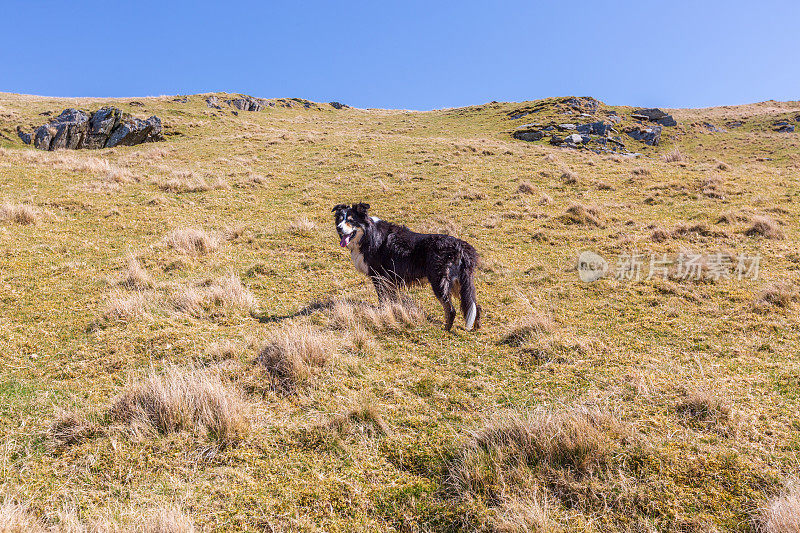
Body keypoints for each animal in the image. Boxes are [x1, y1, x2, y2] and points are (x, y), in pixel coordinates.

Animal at [332, 203, 482, 330]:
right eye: (340, 219)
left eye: (351, 220)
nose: (339, 227)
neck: (369, 235)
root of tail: (461, 246)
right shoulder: (389, 279)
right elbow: (390, 300)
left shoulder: (378, 276)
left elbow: (382, 299)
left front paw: (382, 312)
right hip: (459, 284)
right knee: (475, 306)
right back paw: (476, 328)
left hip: (439, 282)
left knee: (450, 310)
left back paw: (446, 329)